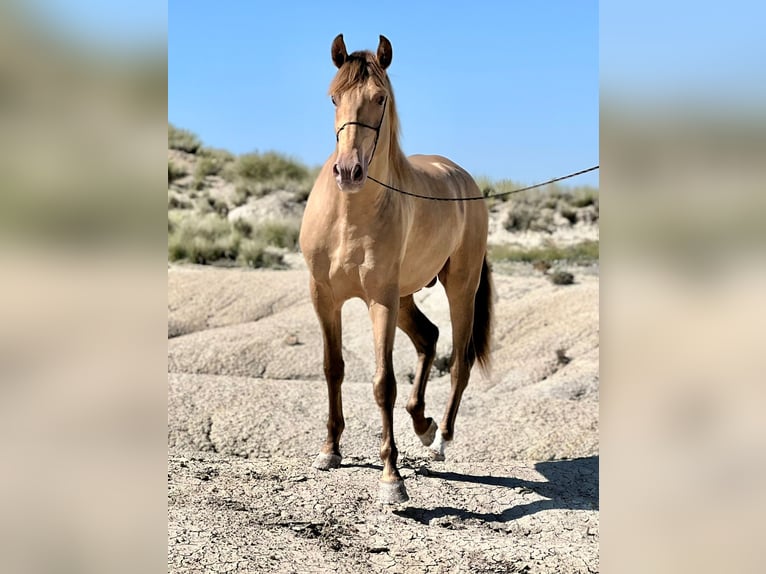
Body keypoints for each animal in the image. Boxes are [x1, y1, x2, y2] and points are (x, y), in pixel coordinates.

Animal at [300, 33, 492, 506]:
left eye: (380, 97)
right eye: (334, 97)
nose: (349, 171)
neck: (349, 215)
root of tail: (461, 176)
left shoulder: (379, 301)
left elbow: (383, 383)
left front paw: (392, 477)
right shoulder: (324, 298)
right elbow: (333, 369)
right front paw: (330, 450)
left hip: (458, 288)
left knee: (458, 361)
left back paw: (439, 439)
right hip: (405, 297)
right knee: (428, 337)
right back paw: (421, 423)